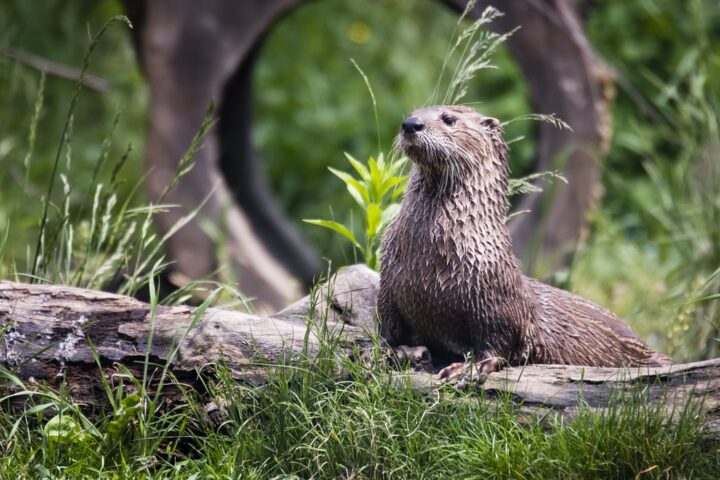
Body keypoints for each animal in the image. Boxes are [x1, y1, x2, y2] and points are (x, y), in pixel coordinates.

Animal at [378, 105, 671, 379]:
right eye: (413, 112)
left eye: (449, 119)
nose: (411, 124)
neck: (430, 259)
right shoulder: (389, 286)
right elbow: (388, 329)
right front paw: (394, 352)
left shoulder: (494, 300)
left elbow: (498, 344)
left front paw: (468, 368)